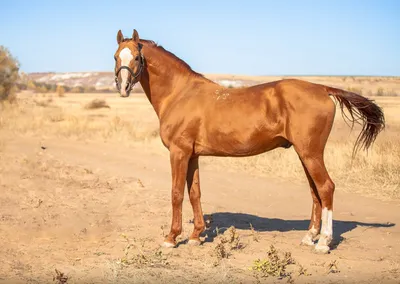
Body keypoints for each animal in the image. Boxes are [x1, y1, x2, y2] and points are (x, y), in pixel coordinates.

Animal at [112, 30, 384, 254]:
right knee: (315, 191)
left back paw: (324, 242)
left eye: (136, 58)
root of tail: (322, 88)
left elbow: (177, 193)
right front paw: (196, 236)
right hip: (305, 154)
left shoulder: (178, 153)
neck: (180, 93)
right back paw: (310, 237)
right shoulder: (193, 155)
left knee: (326, 187)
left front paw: (171, 238)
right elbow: (195, 193)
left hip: (311, 153)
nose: (123, 88)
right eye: (116, 56)